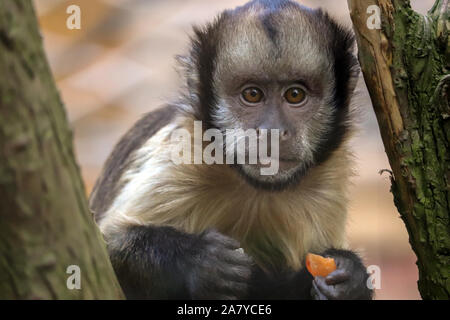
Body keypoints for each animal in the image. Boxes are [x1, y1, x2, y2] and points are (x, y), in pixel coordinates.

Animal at [89, 0, 372, 300]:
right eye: (252, 94)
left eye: (295, 95)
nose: (272, 130)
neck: (256, 190)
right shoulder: (184, 153)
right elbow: (108, 246)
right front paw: (200, 261)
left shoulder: (328, 183)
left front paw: (351, 280)